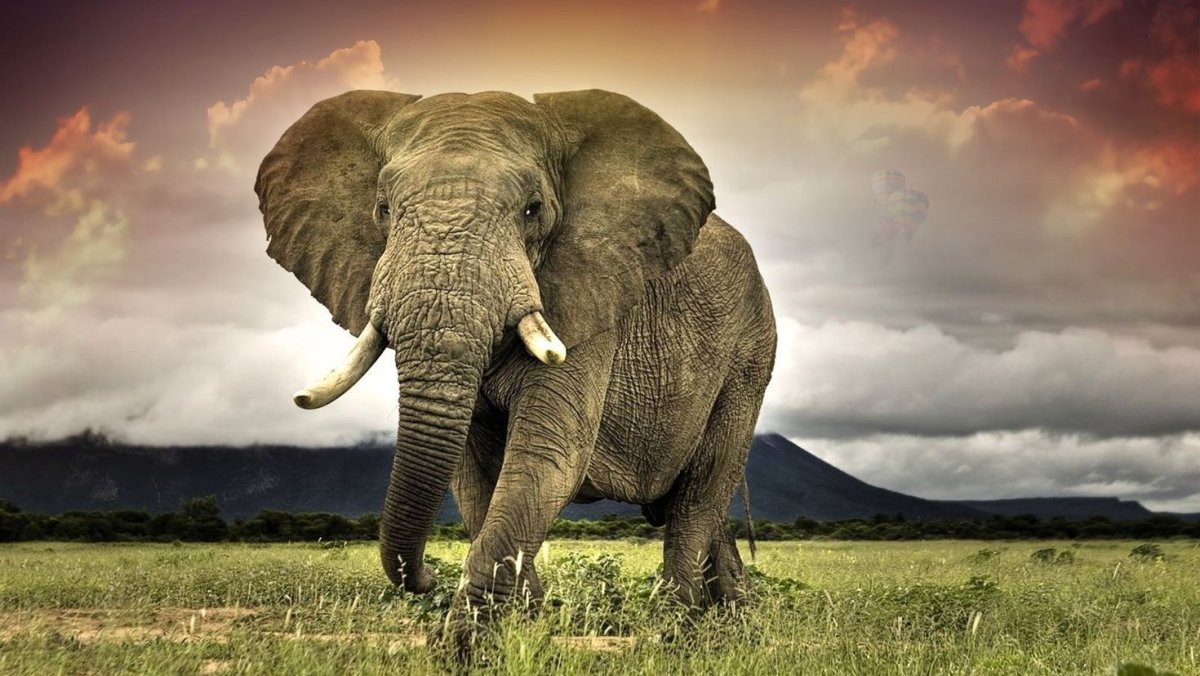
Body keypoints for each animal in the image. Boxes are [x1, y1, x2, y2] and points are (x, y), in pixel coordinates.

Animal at [255, 89, 776, 637]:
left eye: (533, 209)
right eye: (383, 209)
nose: (423, 578)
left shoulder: (590, 298)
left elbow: (547, 455)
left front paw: (468, 644)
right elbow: (473, 477)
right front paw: (527, 624)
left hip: (750, 352)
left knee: (700, 493)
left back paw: (676, 632)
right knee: (698, 508)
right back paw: (733, 620)